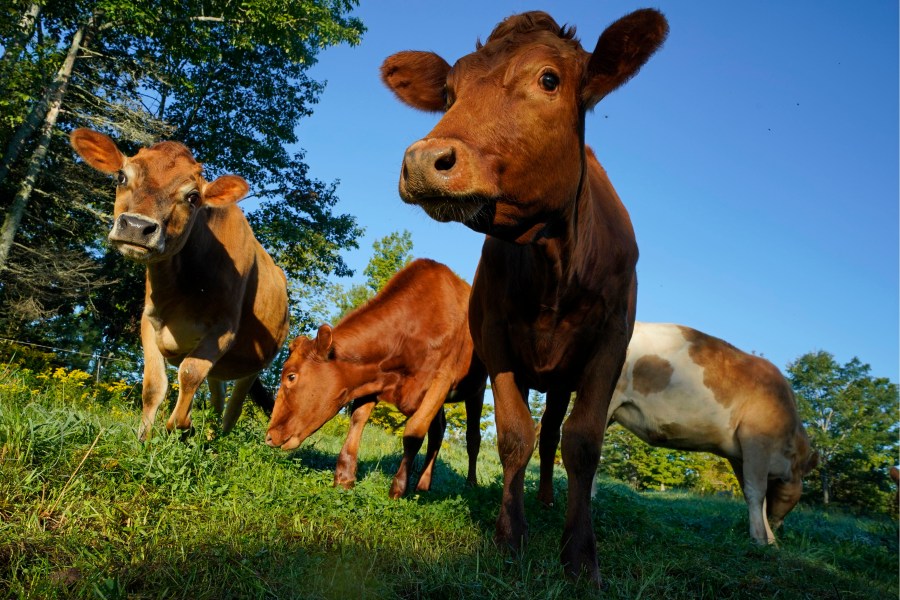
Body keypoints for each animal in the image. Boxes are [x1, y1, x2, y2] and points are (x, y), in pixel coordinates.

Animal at [70, 129, 288, 440]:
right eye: (122, 176)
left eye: (193, 196)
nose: (136, 227)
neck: (179, 291)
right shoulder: (149, 322)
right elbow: (153, 386)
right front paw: (144, 438)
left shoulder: (223, 331)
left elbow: (189, 373)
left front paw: (181, 425)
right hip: (222, 369)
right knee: (217, 397)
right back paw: (208, 435)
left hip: (256, 365)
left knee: (233, 408)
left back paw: (218, 438)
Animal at [264, 258, 488, 496]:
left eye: (291, 377)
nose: (269, 436)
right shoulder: (372, 378)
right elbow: (357, 420)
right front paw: (344, 478)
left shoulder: (441, 380)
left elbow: (414, 431)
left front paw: (397, 489)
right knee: (438, 432)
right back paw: (423, 485)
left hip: (476, 389)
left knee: (472, 437)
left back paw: (470, 485)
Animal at [380, 8, 668, 580]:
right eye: (450, 92)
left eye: (549, 80)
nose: (423, 161)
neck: (553, 262)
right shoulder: (495, 339)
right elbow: (515, 435)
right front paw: (510, 535)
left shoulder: (610, 342)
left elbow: (583, 441)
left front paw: (579, 554)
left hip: (562, 378)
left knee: (556, 431)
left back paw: (548, 500)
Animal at [536, 324, 820, 544]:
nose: (779, 527)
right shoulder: (756, 440)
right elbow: (756, 492)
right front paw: (765, 540)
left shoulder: (739, 455)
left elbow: (751, 493)